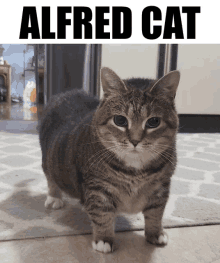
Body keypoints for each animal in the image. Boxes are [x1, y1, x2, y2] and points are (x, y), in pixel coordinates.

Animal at [39, 67, 180, 255]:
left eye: (154, 122)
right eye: (120, 120)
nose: (135, 141)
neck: (135, 171)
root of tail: (66, 93)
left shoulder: (161, 187)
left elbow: (156, 213)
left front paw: (155, 233)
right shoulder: (98, 189)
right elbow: (102, 215)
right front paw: (104, 239)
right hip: (48, 161)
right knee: (51, 179)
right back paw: (54, 197)